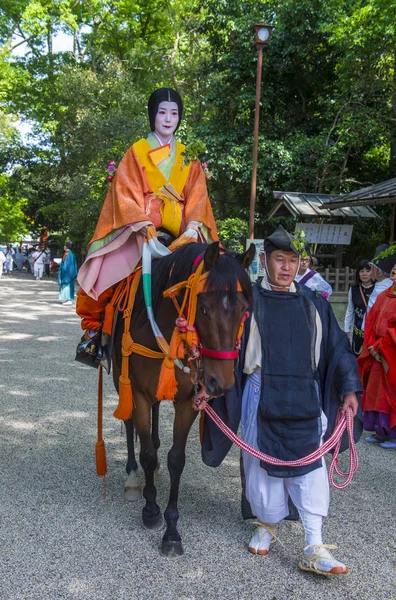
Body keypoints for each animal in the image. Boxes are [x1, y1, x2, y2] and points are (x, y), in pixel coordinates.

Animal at [111, 240, 254, 556]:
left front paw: (172, 530)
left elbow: (176, 459)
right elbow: (147, 453)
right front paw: (151, 510)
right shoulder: (137, 392)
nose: (220, 383)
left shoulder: (189, 399)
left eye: (244, 310)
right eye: (204, 308)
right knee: (130, 426)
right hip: (120, 379)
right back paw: (132, 477)